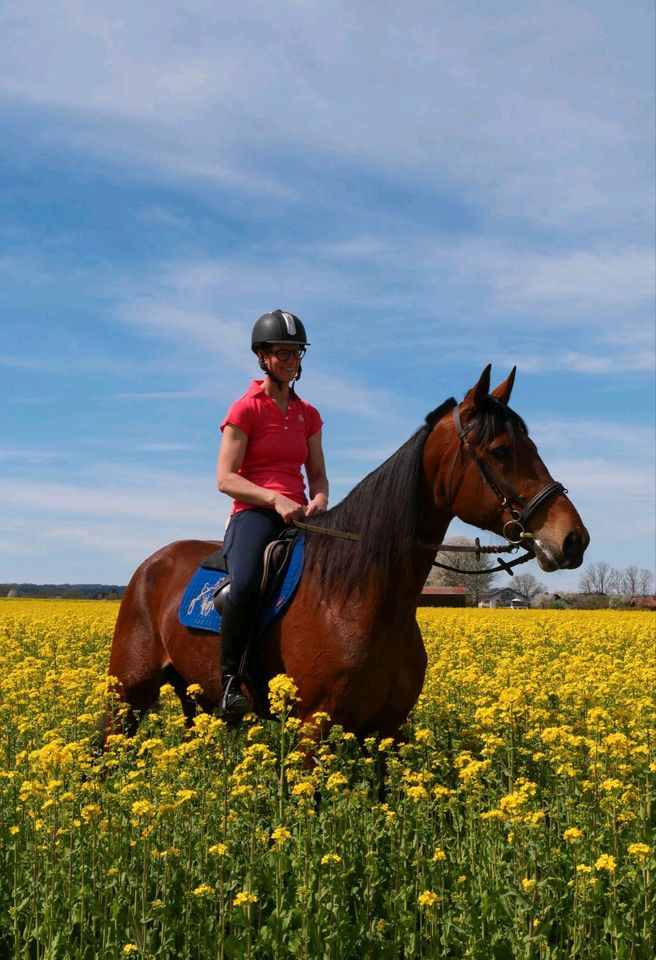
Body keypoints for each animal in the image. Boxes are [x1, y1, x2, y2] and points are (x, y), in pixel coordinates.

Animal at [104, 368, 588, 744]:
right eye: (501, 451)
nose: (573, 540)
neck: (361, 599)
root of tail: (151, 564)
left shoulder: (388, 730)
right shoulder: (312, 730)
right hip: (127, 695)